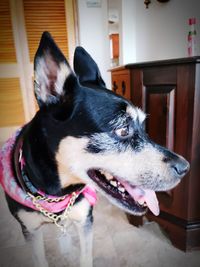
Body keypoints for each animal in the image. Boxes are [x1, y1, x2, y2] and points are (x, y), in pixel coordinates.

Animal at [0, 31, 189, 267]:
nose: (186, 167)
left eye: (142, 126)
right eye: (123, 129)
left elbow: (85, 257)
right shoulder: (30, 231)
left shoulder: (85, 220)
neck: (59, 191)